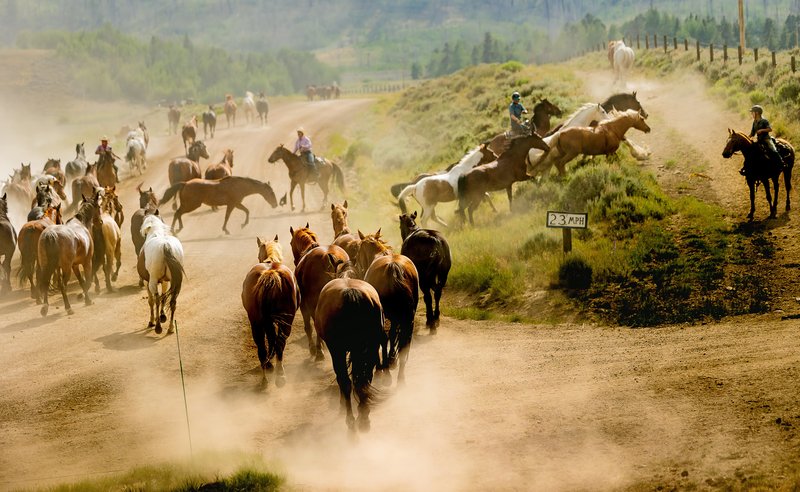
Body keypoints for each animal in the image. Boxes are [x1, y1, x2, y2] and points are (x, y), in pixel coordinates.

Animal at [242, 236, 299, 387]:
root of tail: (270, 273)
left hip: (257, 321)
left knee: (263, 347)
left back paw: (267, 377)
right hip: (284, 321)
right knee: (278, 343)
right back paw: (277, 375)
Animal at [315, 254, 385, 431]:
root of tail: (350, 292)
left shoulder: (337, 350)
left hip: (337, 350)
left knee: (345, 382)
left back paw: (350, 422)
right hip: (371, 345)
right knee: (365, 379)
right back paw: (364, 418)